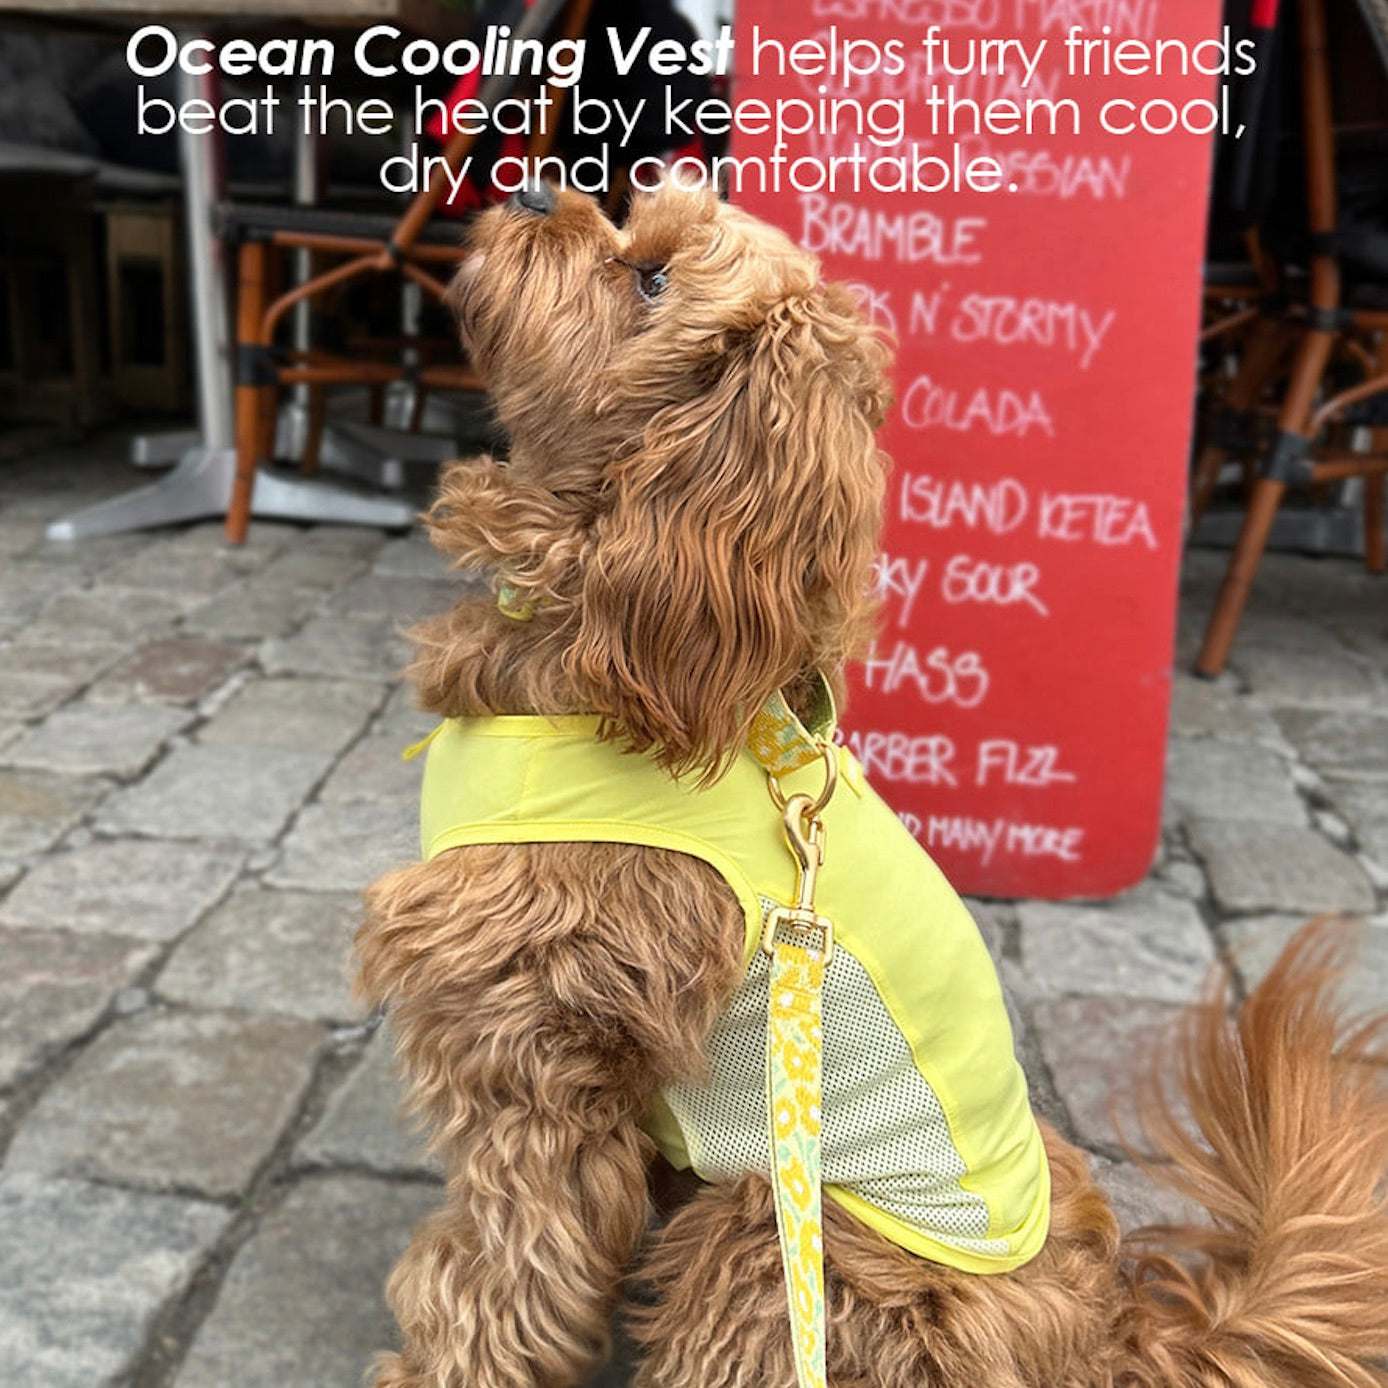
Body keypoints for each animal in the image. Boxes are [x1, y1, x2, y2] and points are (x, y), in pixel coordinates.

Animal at [356, 178, 1388, 1388]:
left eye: (650, 277)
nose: (524, 187)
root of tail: (1108, 1337)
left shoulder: (532, 1059)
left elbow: (492, 1273)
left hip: (777, 1237)